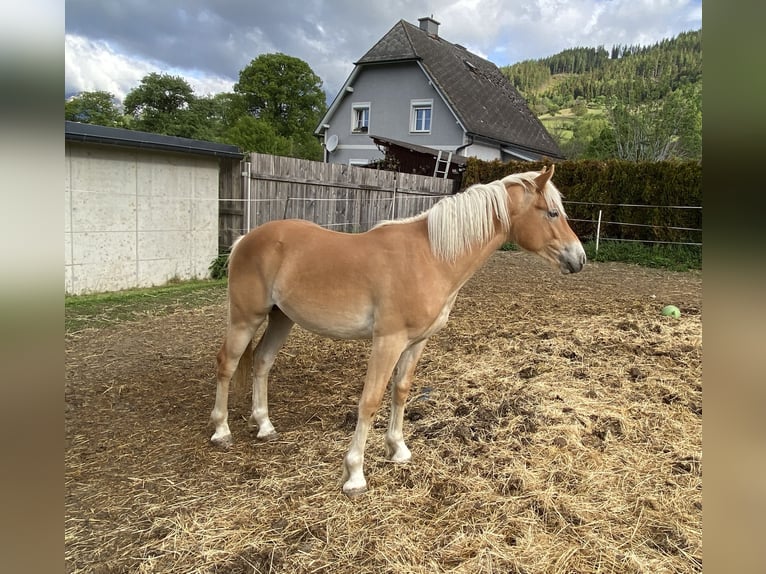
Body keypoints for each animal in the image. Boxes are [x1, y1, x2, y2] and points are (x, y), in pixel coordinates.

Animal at [209, 165, 586, 497]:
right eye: (552, 213)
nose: (579, 259)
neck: (431, 256)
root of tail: (246, 239)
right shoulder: (387, 341)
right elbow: (371, 400)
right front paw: (355, 475)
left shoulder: (416, 342)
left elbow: (400, 391)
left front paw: (398, 449)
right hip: (246, 318)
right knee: (227, 364)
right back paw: (222, 431)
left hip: (280, 319)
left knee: (261, 362)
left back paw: (265, 426)